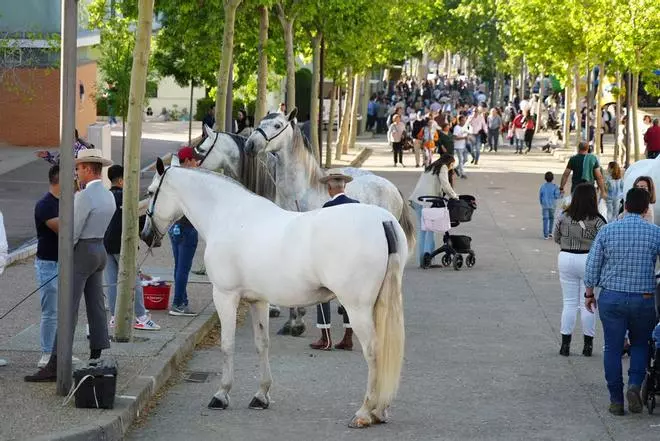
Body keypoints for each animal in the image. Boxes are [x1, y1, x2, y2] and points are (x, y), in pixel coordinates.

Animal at [142, 158, 404, 426]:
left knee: (373, 351)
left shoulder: (225, 296)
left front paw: (221, 394)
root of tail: (384, 221)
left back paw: (364, 412)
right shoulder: (258, 301)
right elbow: (262, 344)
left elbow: (227, 344)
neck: (228, 215)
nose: (145, 235)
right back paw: (380, 411)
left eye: (151, 192)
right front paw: (261, 395)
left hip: (357, 308)